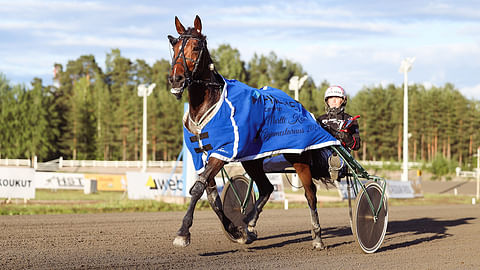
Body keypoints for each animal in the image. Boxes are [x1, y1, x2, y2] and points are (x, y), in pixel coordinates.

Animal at [169, 15, 338, 250]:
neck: (206, 106)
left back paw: (317, 237)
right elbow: (212, 197)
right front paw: (237, 230)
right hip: (252, 159)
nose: (176, 79)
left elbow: (198, 189)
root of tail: (299, 105)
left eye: (195, 47)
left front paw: (183, 232)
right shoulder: (200, 154)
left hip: (298, 156)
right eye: (174, 46)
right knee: (266, 188)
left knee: (310, 194)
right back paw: (248, 221)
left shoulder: (222, 151)